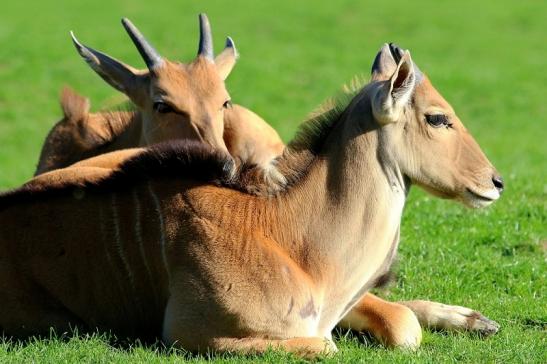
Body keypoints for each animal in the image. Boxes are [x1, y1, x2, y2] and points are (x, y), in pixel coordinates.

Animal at [1, 42, 506, 356]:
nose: (496, 181)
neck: (293, 239)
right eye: (438, 118)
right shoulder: (193, 335)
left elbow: (396, 323)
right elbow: (331, 342)